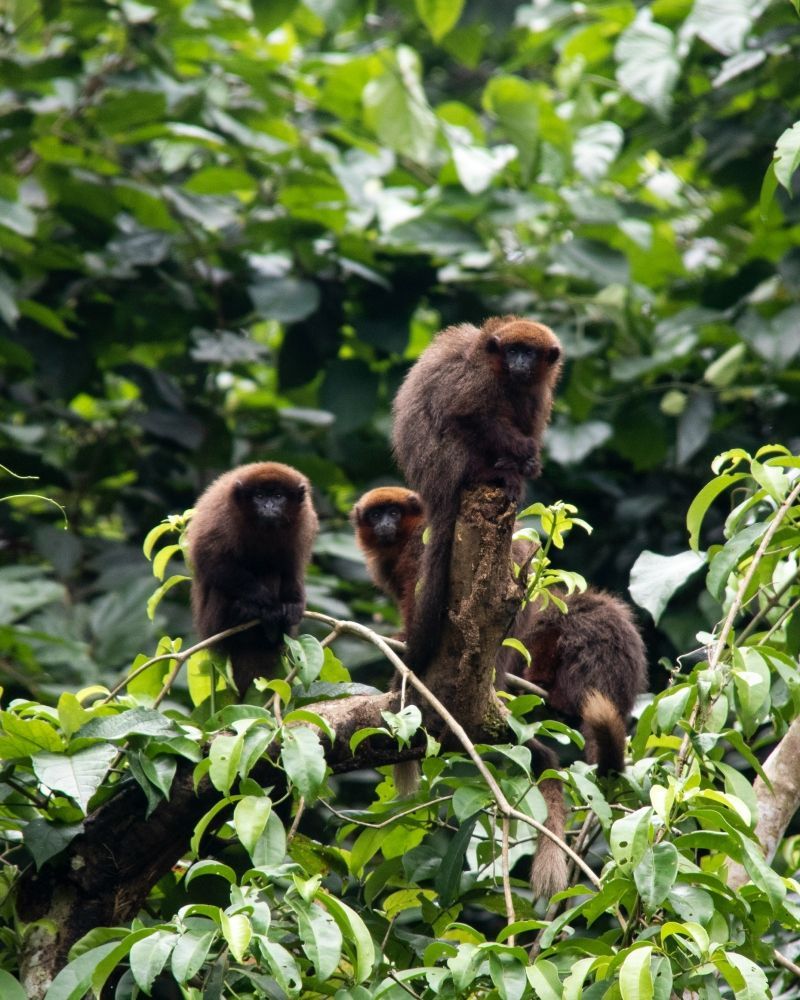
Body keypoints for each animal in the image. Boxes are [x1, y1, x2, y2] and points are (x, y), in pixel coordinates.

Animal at [188, 462, 319, 695]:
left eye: (277, 496)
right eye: (259, 496)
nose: (268, 506)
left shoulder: (305, 521)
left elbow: (292, 568)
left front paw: (293, 605)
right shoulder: (221, 512)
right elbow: (209, 557)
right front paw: (265, 600)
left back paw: (274, 630)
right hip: (211, 622)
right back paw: (241, 613)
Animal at [392, 316, 562, 675]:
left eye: (528, 352)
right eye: (513, 350)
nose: (519, 362)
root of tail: (434, 488)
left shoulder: (539, 393)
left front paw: (527, 462)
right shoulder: (479, 378)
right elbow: (466, 414)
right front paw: (522, 453)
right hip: (445, 462)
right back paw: (493, 474)